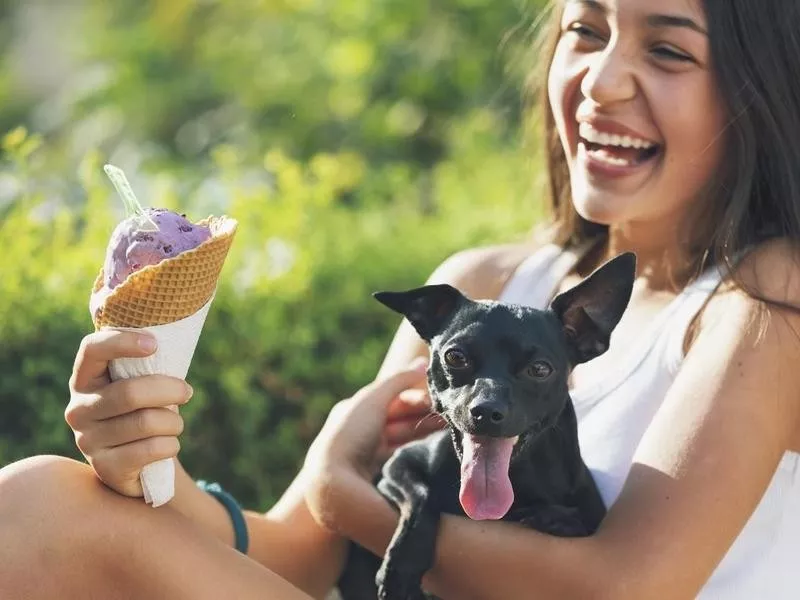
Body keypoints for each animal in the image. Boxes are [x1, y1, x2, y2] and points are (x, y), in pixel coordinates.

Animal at [338, 251, 636, 596]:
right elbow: (421, 497)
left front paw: (555, 518)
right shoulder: (396, 467)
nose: (486, 410)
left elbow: (579, 521)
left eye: (540, 369)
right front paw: (402, 566)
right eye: (455, 357)